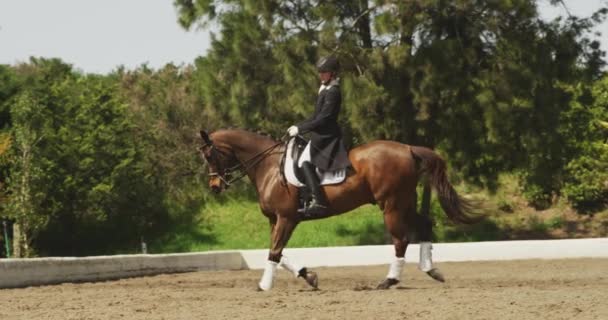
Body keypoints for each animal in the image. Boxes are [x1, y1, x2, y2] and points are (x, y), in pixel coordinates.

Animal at [197, 127, 478, 290]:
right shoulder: (274, 220)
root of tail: (408, 148)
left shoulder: (286, 218)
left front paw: (263, 286)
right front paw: (309, 277)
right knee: (424, 225)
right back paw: (431, 271)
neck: (268, 166)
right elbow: (278, 251)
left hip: (392, 204)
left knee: (401, 239)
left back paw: (388, 280)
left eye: (209, 155)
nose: (214, 186)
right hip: (405, 202)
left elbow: (275, 252)